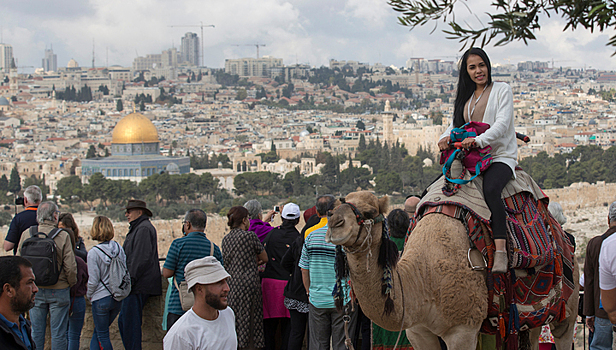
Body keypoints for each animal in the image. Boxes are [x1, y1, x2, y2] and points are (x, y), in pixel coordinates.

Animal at [324, 191, 580, 350]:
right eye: (335, 208)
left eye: (368, 212)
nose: (334, 224)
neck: (422, 277)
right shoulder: (418, 331)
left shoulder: (462, 330)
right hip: (528, 318)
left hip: (568, 307)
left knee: (564, 333)